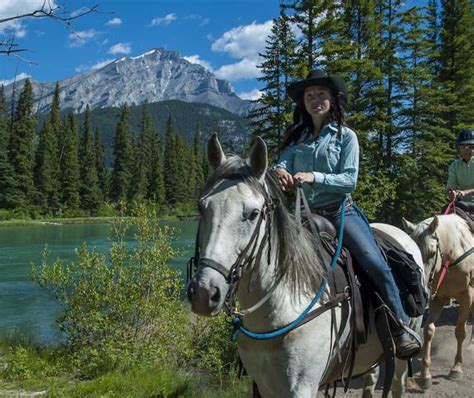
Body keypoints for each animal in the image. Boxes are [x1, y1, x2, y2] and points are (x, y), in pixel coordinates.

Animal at [402, 215, 472, 388]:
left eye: (432, 252)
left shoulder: (466, 295)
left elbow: (460, 331)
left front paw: (456, 368)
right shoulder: (438, 297)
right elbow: (429, 330)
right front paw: (425, 375)